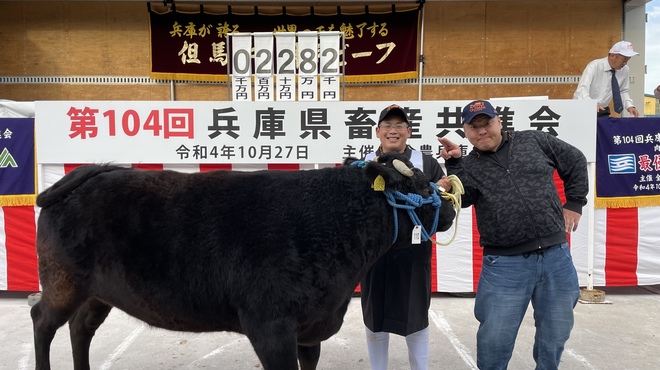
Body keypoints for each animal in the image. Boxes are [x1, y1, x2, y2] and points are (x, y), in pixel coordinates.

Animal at [29, 152, 454, 368]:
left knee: (80, 328)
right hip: (62, 282)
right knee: (42, 321)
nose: (451, 206)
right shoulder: (270, 327)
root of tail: (85, 174)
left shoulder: (309, 328)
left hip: (96, 292)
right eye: (419, 186)